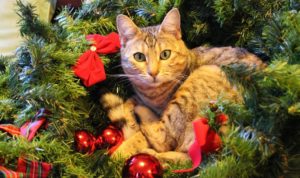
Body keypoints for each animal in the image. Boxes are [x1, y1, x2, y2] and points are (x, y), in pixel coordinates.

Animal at [101, 8, 264, 161]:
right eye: (139, 57)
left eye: (165, 54)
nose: (153, 73)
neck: (152, 95)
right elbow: (129, 101)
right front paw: (129, 114)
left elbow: (143, 137)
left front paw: (122, 150)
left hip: (205, 75)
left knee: (166, 141)